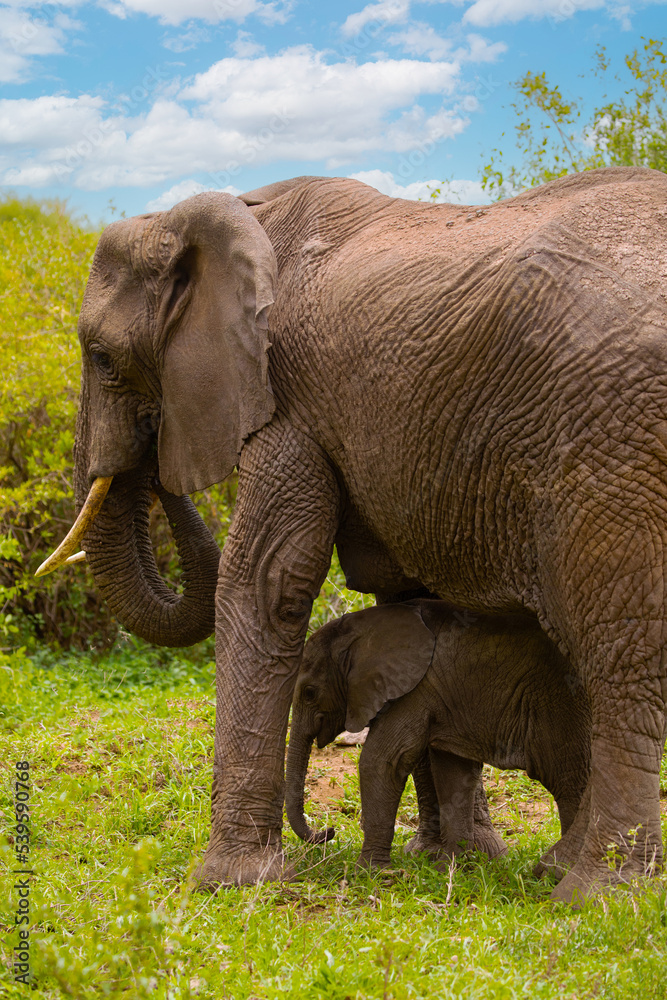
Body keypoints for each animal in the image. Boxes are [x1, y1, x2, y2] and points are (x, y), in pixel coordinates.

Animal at [285, 601, 591, 871]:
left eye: (309, 692)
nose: (329, 831)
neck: (359, 630)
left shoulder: (416, 689)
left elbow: (382, 760)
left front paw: (371, 872)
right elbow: (452, 773)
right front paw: (450, 868)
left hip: (558, 705)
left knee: (569, 781)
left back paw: (559, 870)